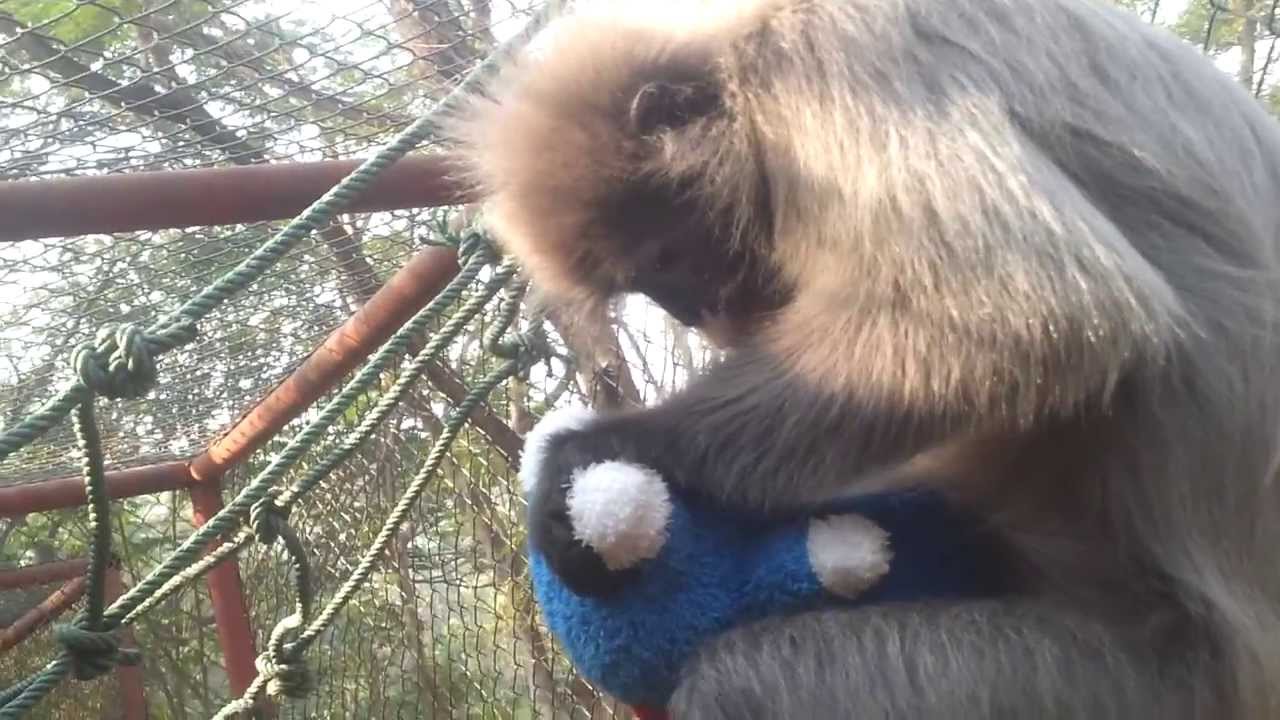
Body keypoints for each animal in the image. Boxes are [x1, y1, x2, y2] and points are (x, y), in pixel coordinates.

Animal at [442, 0, 1280, 717]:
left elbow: (1035, 316)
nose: (693, 314)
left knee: (738, 684)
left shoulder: (819, 62)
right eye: (654, 285)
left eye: (669, 262)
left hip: (1115, 685)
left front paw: (597, 450)